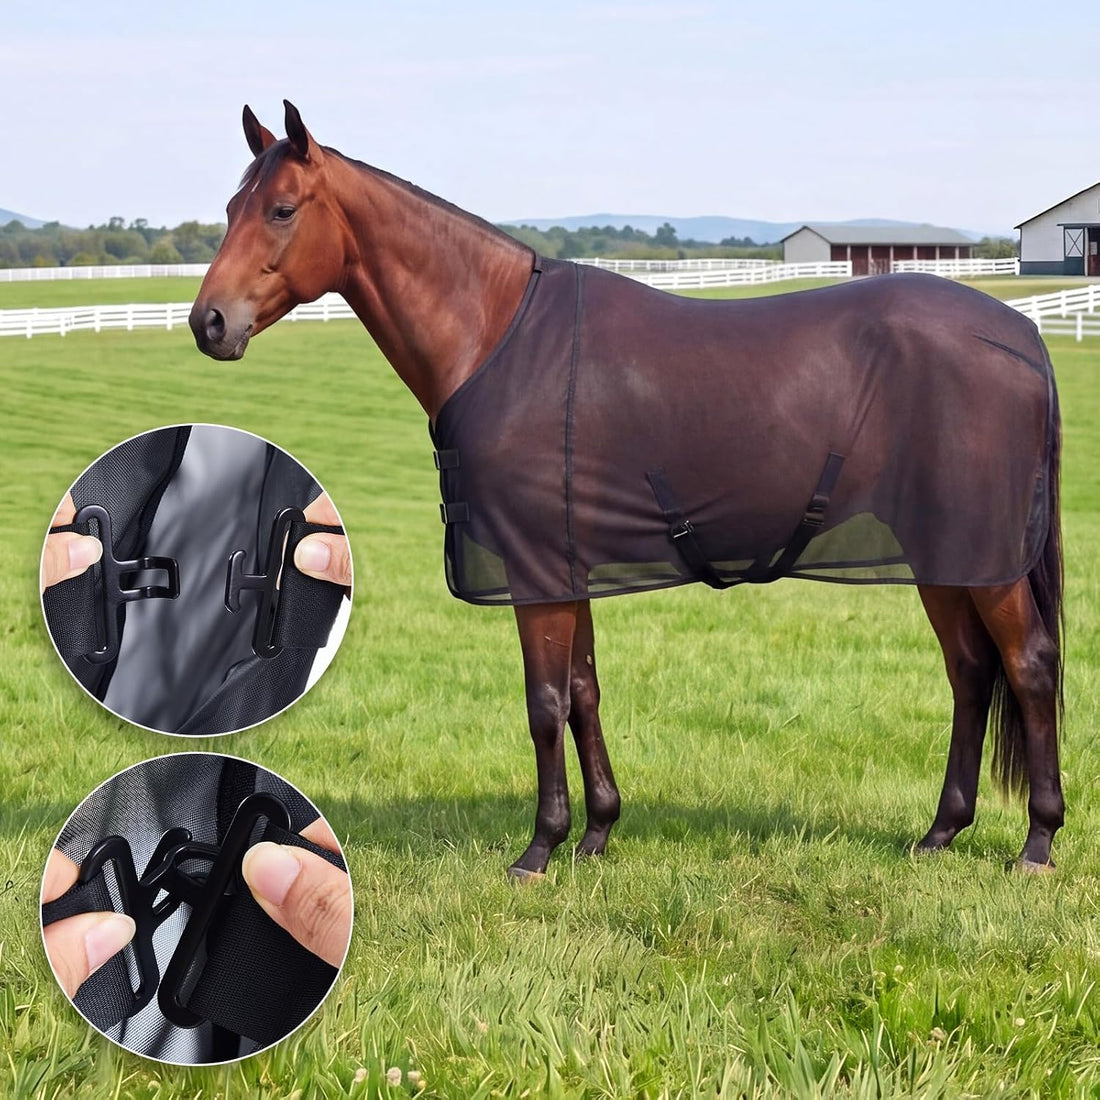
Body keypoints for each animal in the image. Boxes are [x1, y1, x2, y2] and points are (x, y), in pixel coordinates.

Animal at [190, 101, 1064, 879]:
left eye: (281, 209)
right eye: (230, 207)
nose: (209, 323)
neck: (498, 335)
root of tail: (1021, 337)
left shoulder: (535, 572)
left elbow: (545, 703)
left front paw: (539, 850)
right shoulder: (564, 566)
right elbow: (584, 691)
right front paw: (598, 833)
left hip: (981, 561)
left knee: (1027, 665)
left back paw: (1037, 842)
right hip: (944, 556)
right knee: (970, 671)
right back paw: (940, 833)